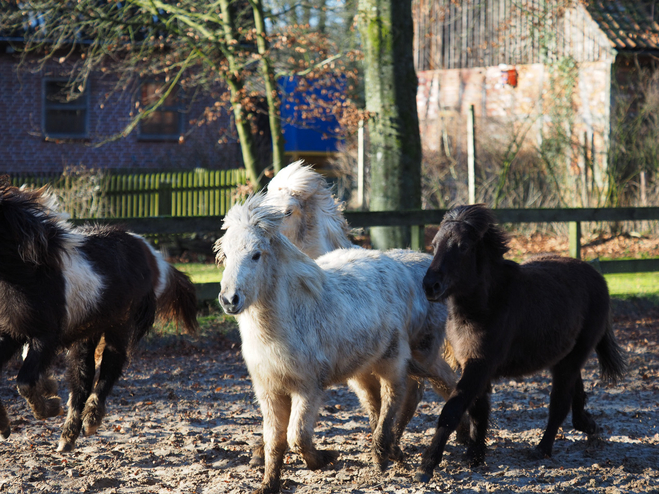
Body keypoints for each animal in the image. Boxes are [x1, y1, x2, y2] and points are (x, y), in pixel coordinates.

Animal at [0, 181, 199, 452]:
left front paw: (50, 407)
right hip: (88, 333)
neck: (28, 274)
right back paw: (67, 437)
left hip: (119, 326)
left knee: (109, 367)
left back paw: (90, 420)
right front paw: (6, 423)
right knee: (82, 380)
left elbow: (25, 383)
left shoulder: (45, 337)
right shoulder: (10, 334)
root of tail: (151, 253)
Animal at [217, 196, 420, 494]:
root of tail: (394, 264)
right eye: (225, 256)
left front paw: (324, 458)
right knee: (376, 401)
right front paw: (268, 484)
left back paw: (385, 451)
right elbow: (273, 440)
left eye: (256, 255)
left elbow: (297, 436)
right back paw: (385, 452)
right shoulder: (269, 391)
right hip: (362, 368)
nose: (230, 299)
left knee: (394, 395)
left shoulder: (308, 389)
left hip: (391, 359)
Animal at [418, 205, 628, 482]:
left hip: (574, 357)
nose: (430, 286)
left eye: (463, 246)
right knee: (577, 394)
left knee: (559, 403)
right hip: (565, 357)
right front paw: (475, 457)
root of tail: (598, 278)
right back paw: (589, 427)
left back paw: (542, 449)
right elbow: (478, 410)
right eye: (434, 245)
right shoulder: (471, 365)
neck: (487, 305)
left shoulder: (480, 365)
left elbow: (453, 410)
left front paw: (427, 465)